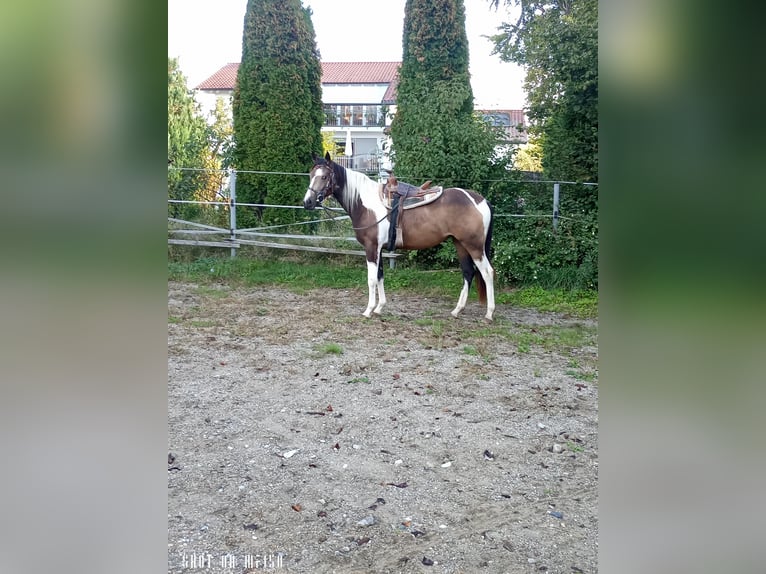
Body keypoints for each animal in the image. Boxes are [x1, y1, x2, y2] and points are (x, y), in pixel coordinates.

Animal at [306, 153, 498, 322]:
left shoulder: (371, 248)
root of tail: (480, 200)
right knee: (468, 272)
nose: (307, 202)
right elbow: (380, 276)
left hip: (474, 246)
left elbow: (371, 279)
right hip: (460, 244)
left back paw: (489, 314)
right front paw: (379, 308)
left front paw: (368, 310)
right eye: (311, 175)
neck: (365, 204)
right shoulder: (379, 249)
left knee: (487, 272)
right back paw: (457, 310)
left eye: (324, 177)